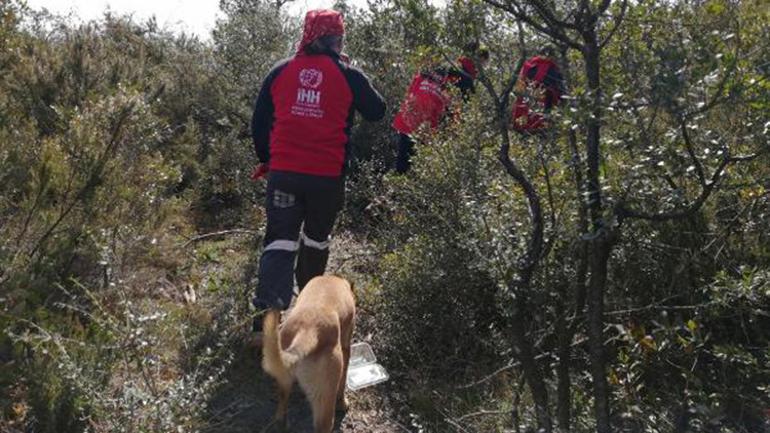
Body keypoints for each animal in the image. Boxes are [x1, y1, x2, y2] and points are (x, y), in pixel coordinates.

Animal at [258, 276, 354, 430]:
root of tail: (307, 332)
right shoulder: (346, 347)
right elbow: (343, 382)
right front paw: (343, 404)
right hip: (325, 399)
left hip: (284, 379)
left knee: (281, 409)